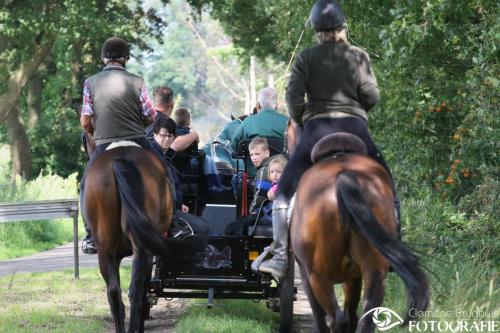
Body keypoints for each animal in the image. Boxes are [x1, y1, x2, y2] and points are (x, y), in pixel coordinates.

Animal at [288, 123, 428, 330]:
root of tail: (343, 176)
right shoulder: (353, 277)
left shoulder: (308, 275)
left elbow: (320, 316)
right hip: (375, 271)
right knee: (365, 317)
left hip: (318, 276)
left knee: (337, 319)